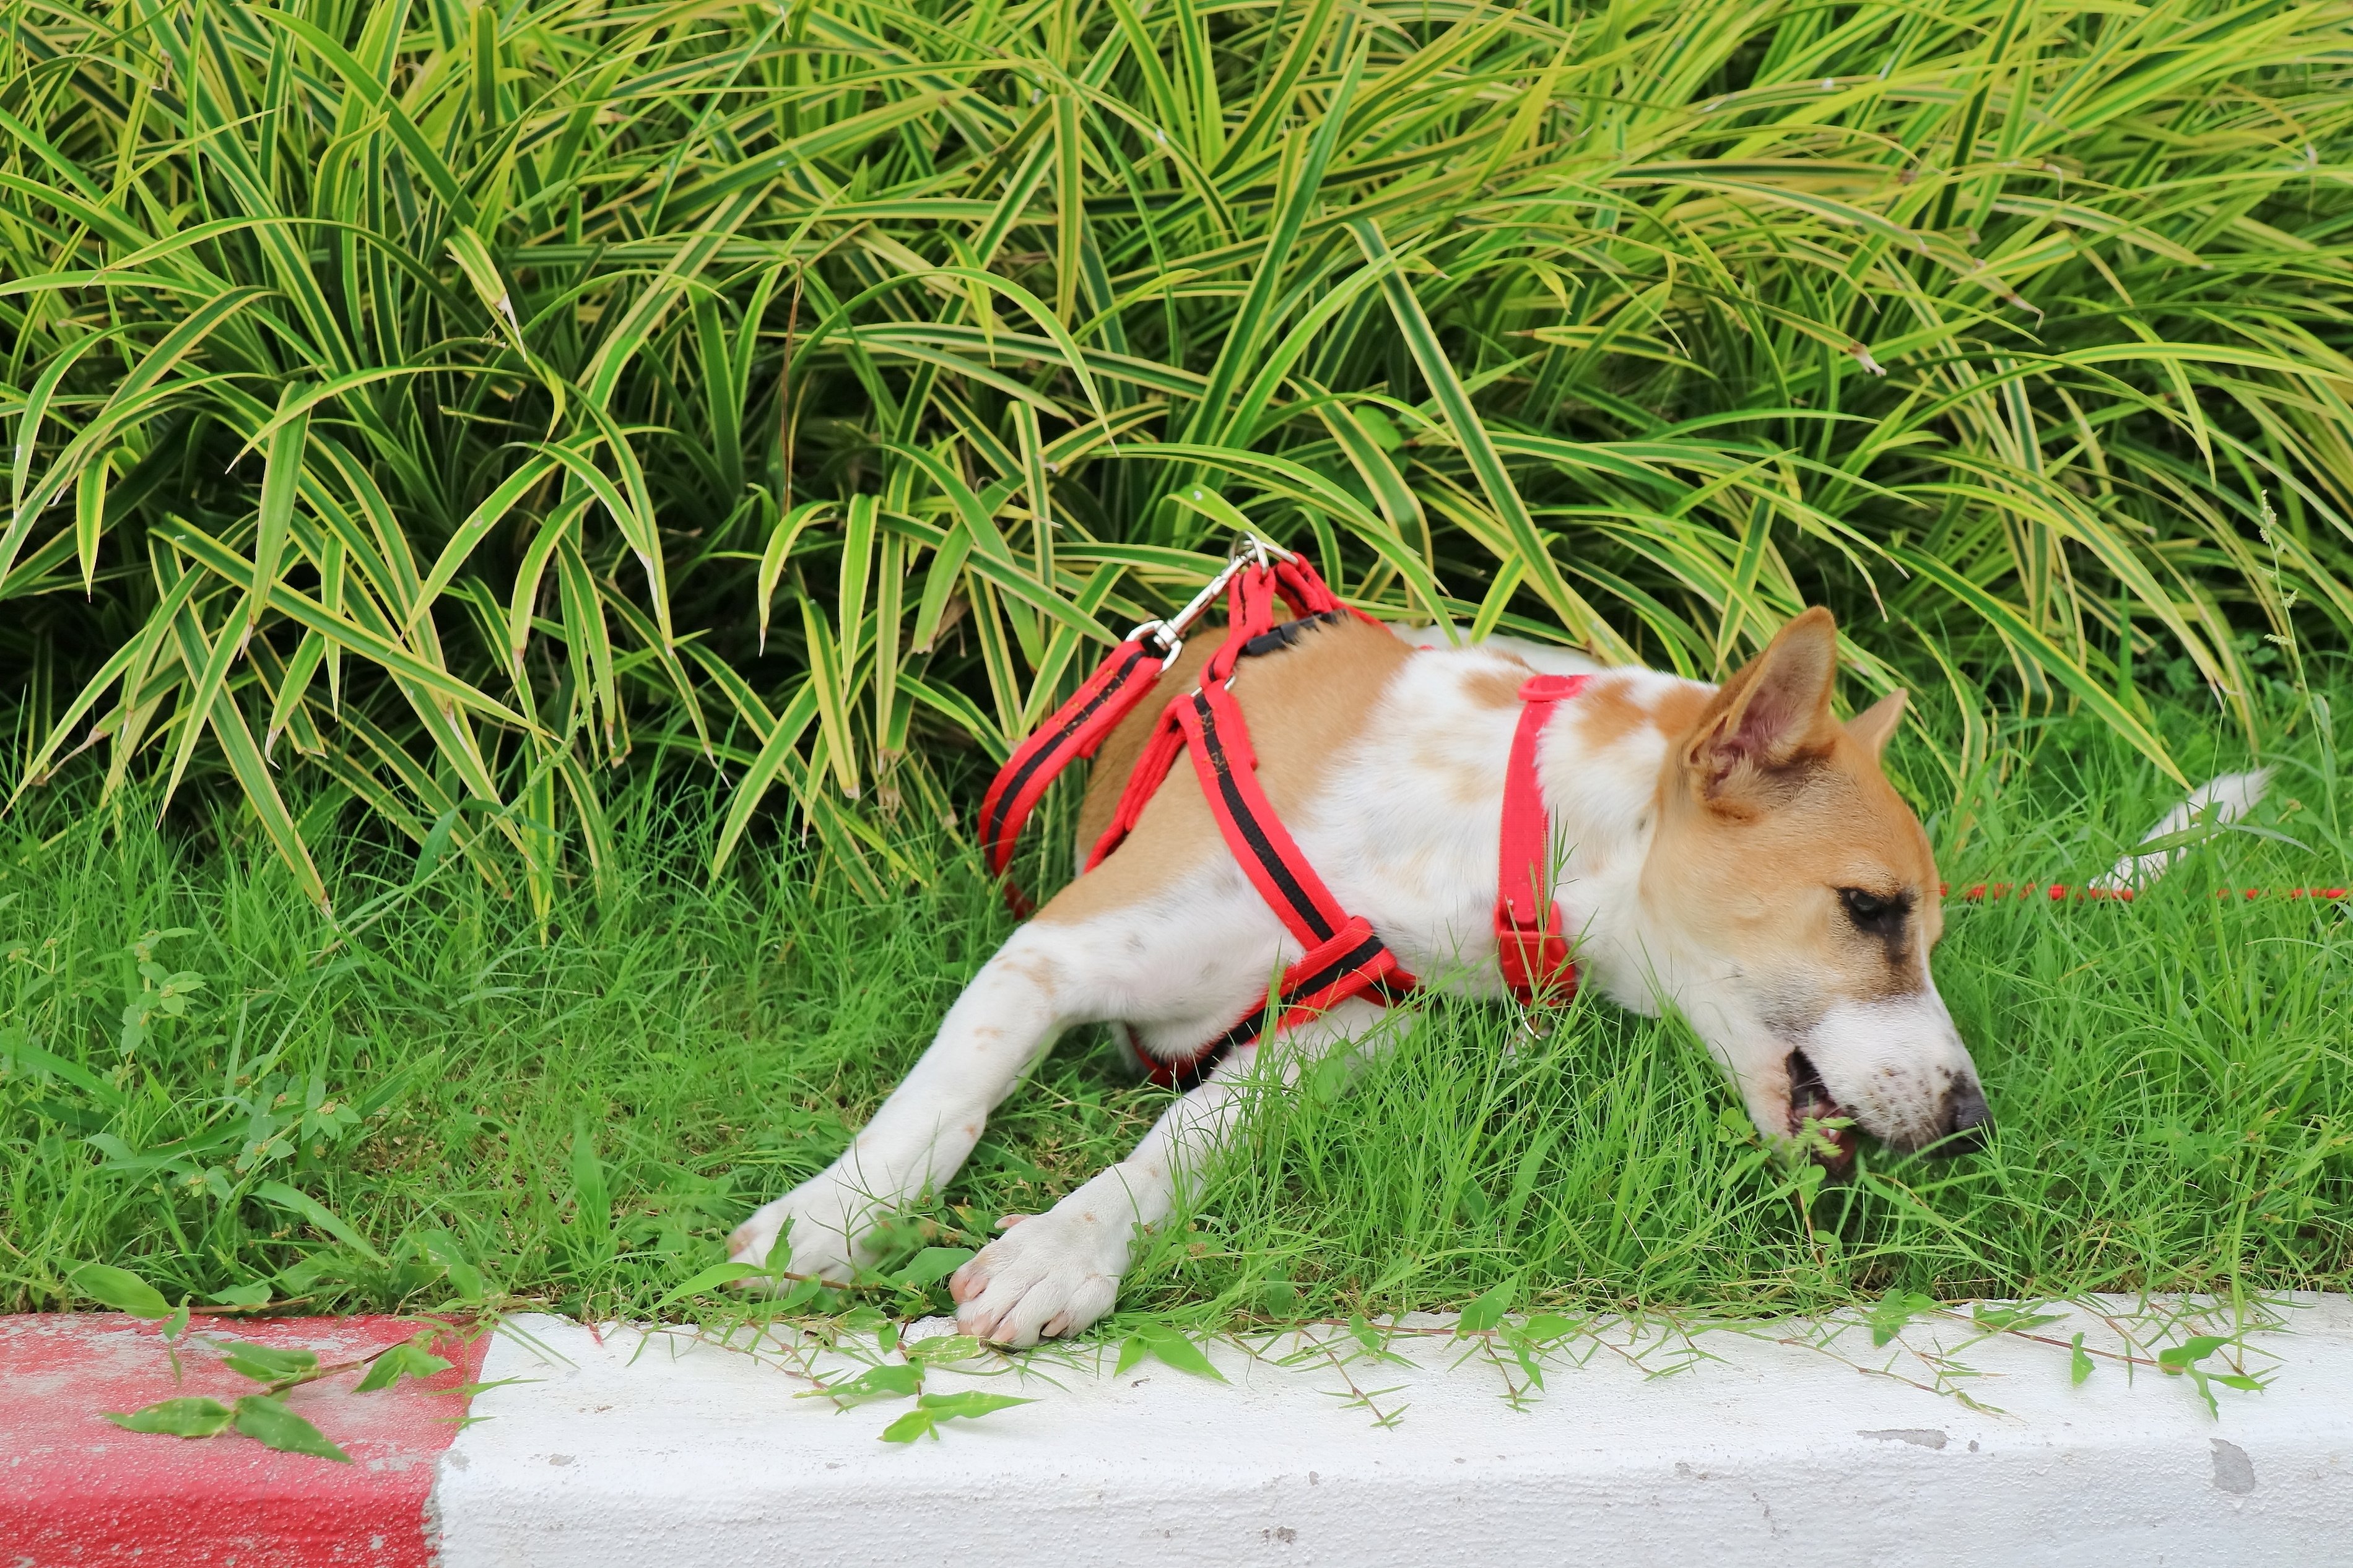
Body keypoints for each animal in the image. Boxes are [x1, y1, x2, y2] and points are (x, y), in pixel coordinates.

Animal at [729, 606, 1986, 1345]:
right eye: (1870, 909)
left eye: (1926, 936)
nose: (1972, 1120)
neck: (1483, 826)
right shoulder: (1057, 949)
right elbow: (940, 1101)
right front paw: (827, 1219)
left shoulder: (1352, 1030)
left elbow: (1190, 1137)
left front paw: (1061, 1249)